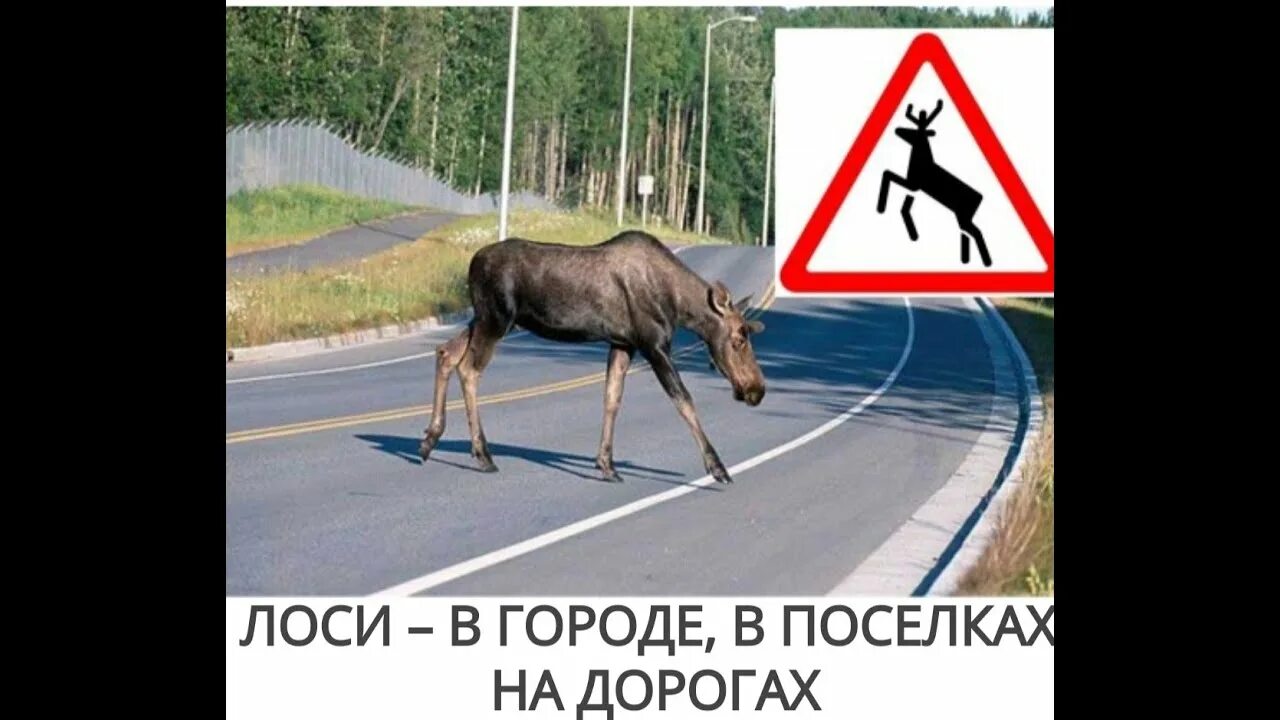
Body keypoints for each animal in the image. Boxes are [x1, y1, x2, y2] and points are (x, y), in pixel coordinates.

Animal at [419, 230, 767, 485]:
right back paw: (483, 455)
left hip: (483, 318)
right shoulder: (653, 345)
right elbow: (683, 400)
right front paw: (718, 467)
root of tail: (472, 263)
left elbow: (612, 399)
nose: (756, 390)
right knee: (469, 369)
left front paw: (607, 465)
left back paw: (430, 439)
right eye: (738, 340)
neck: (679, 305)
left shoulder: (623, 343)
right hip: (496, 319)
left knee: (446, 353)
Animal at [877, 99, 992, 267]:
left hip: (964, 217)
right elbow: (888, 174)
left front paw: (881, 206)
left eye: (917, 133)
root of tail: (981, 198)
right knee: (966, 233)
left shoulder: (914, 184)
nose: (897, 130)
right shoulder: (913, 186)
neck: (921, 162)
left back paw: (986, 261)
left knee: (976, 233)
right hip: (963, 219)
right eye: (913, 129)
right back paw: (966, 259)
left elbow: (888, 174)